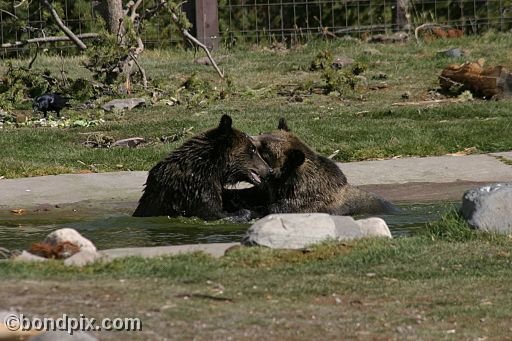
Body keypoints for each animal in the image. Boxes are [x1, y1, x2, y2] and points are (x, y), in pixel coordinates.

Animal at [223, 118, 396, 215]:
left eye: (265, 148)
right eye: (262, 133)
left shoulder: (302, 205)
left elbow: (268, 208)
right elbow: (248, 194)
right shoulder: (268, 191)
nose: (247, 135)